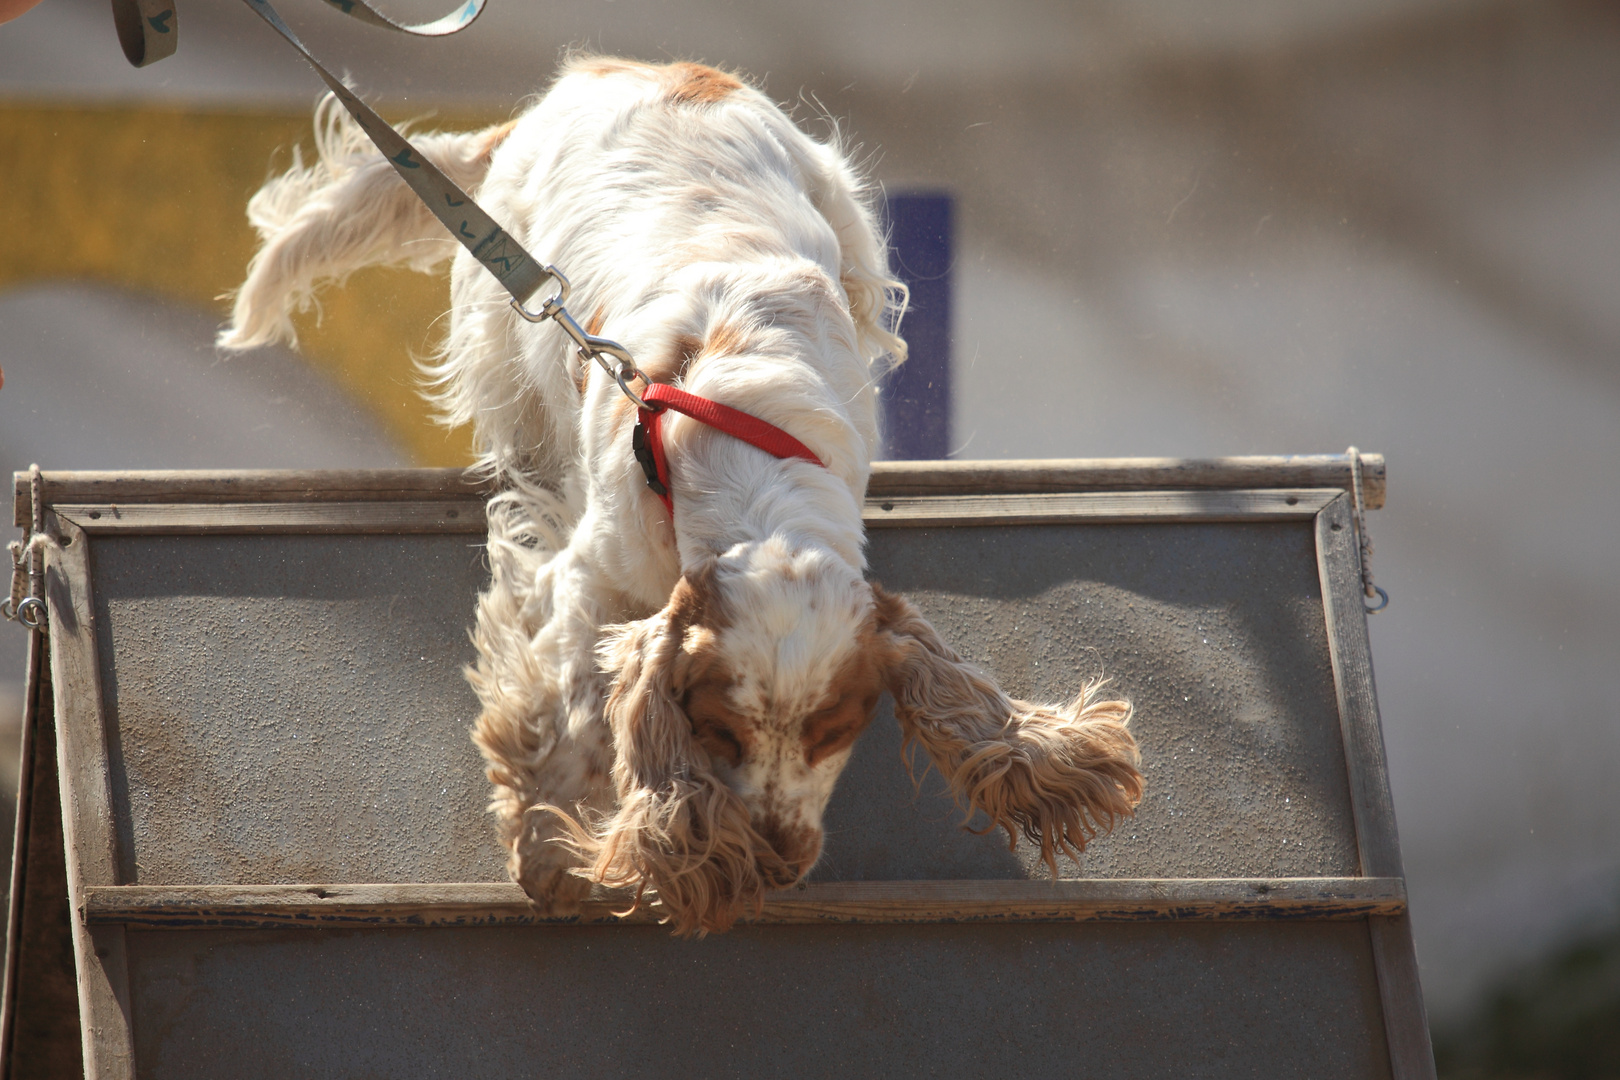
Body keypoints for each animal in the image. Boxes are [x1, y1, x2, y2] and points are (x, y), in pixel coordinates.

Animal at [221, 57, 1146, 939]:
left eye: (835, 729)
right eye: (718, 729)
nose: (776, 859)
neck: (754, 457)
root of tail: (596, 76)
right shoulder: (589, 577)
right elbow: (578, 708)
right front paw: (552, 841)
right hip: (505, 324)